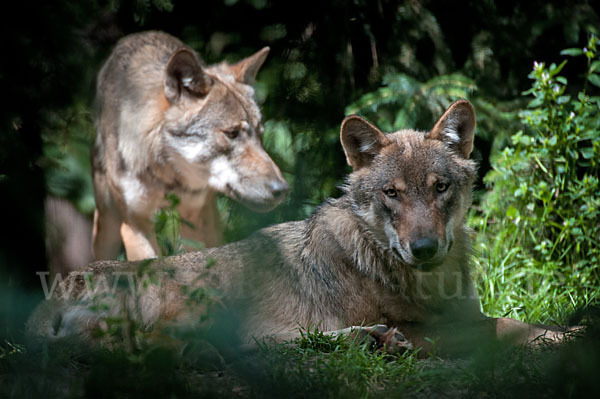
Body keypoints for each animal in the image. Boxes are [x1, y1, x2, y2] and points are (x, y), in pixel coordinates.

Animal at [28, 101, 572, 356]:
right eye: (392, 193)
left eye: (439, 188)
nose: (423, 248)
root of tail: (57, 290)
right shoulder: (440, 326)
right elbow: (507, 325)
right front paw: (569, 337)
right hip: (197, 298)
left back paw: (371, 342)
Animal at [92, 31, 288, 262]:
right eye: (232, 133)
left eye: (260, 134)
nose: (282, 189)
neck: (167, 177)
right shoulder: (136, 226)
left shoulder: (198, 219)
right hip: (107, 225)